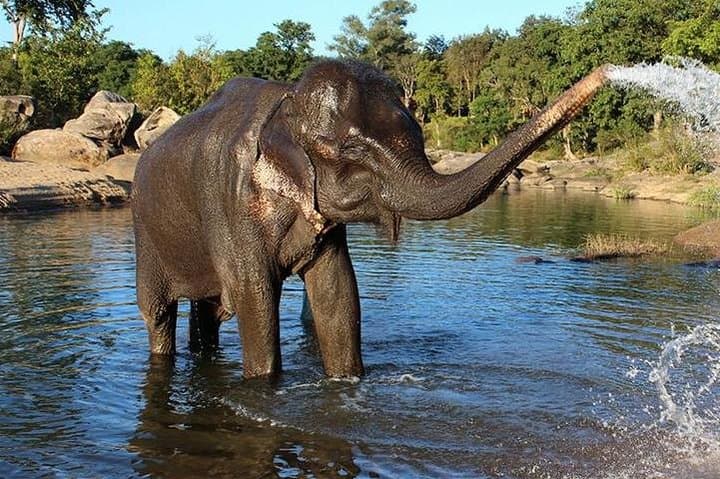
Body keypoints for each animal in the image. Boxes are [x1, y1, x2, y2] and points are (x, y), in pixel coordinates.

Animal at [132, 59, 609, 379]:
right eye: (352, 151)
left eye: (419, 134)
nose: (606, 73)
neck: (287, 102)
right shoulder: (231, 203)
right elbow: (255, 296)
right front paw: (265, 384)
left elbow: (338, 293)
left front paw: (347, 382)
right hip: (147, 235)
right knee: (158, 313)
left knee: (208, 309)